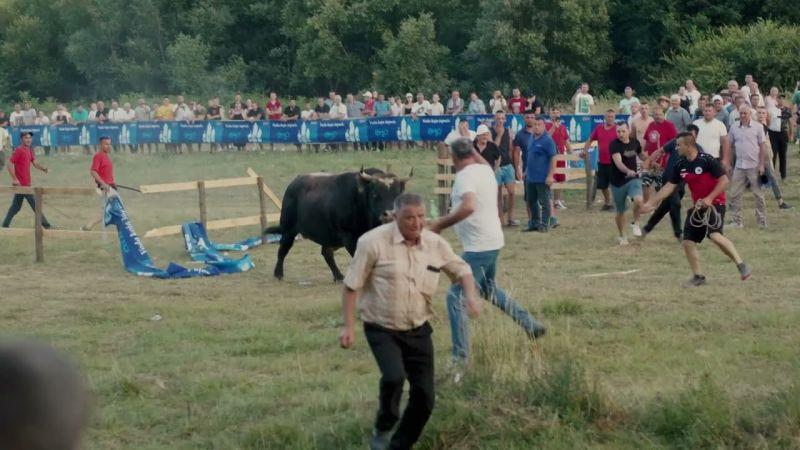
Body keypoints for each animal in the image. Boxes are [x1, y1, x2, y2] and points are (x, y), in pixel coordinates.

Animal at [264, 169, 412, 282]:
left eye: (398, 194)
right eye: (375, 194)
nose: (389, 215)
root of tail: (295, 182)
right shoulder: (349, 238)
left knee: (326, 253)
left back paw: (338, 276)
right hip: (288, 229)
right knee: (283, 248)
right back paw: (278, 273)